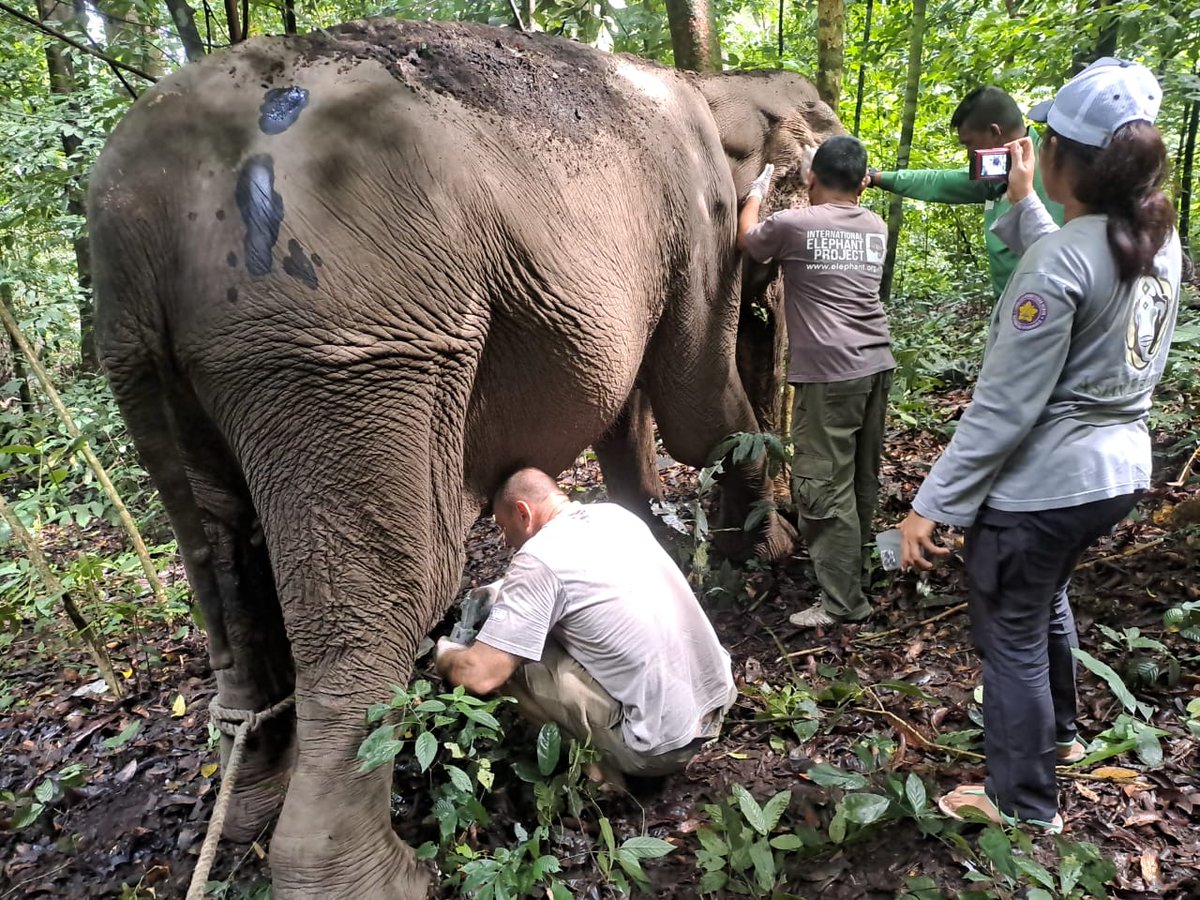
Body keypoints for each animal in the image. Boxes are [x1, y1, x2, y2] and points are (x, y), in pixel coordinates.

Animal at [88, 18, 840, 898]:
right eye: (819, 140)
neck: (711, 87)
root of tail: (145, 209)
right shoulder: (698, 220)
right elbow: (698, 410)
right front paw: (762, 550)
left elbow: (624, 408)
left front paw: (669, 538)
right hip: (341, 344)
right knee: (398, 589)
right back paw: (377, 875)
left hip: (137, 355)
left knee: (218, 560)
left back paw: (247, 810)